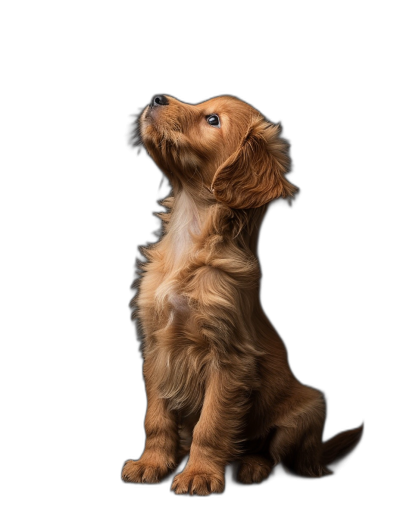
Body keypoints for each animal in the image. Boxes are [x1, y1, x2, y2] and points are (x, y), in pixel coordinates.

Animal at [121, 94, 362, 494]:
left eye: (213, 120)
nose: (156, 98)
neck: (190, 234)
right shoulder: (156, 349)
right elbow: (156, 418)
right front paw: (151, 463)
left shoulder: (229, 357)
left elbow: (211, 424)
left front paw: (200, 474)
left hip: (309, 410)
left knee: (272, 454)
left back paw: (250, 466)